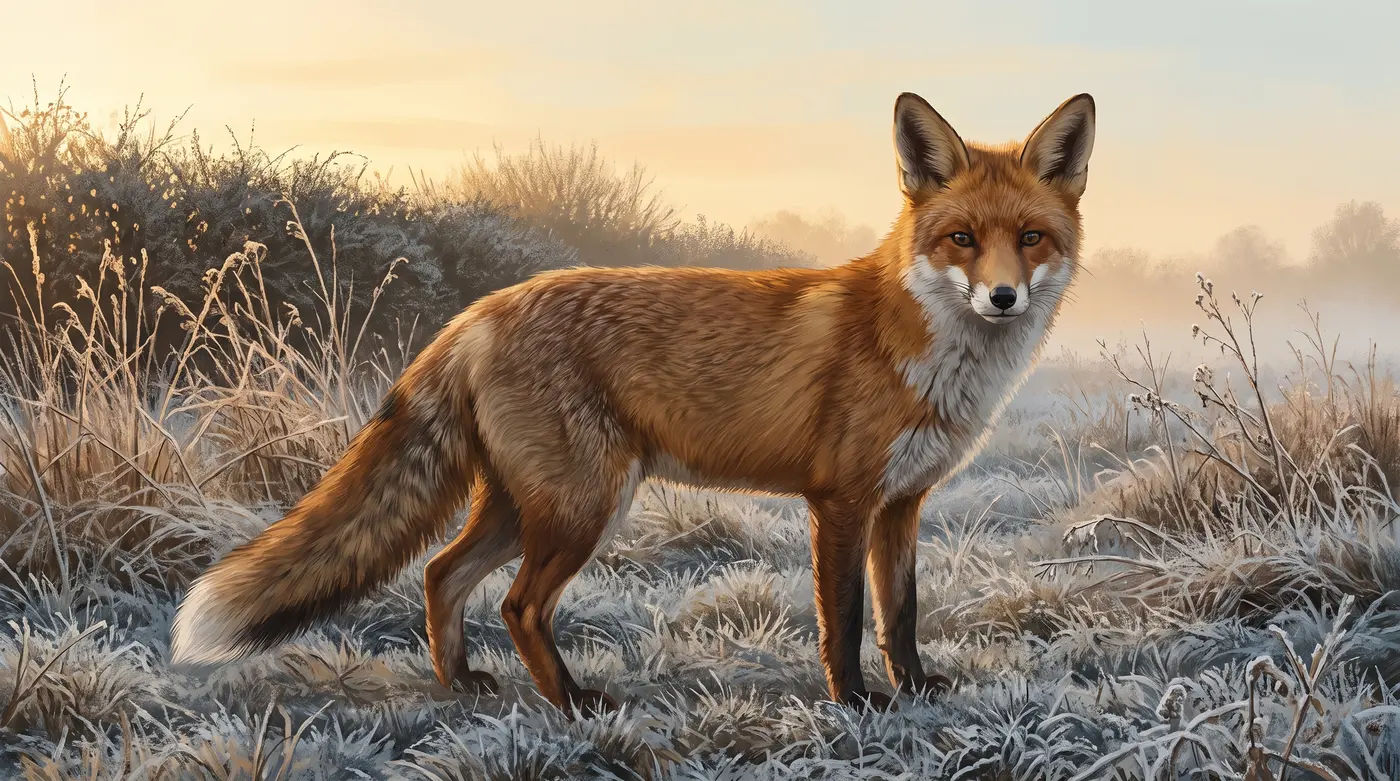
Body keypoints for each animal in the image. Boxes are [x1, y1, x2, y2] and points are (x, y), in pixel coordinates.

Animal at [170, 90, 1096, 717]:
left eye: (1032, 239)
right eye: (961, 239)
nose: (1004, 298)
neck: (932, 354)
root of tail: (479, 310)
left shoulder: (901, 503)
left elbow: (900, 613)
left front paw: (916, 688)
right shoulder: (839, 500)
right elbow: (845, 617)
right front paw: (854, 703)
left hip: (527, 505)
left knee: (440, 574)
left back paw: (460, 683)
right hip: (583, 506)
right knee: (516, 603)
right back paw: (572, 703)